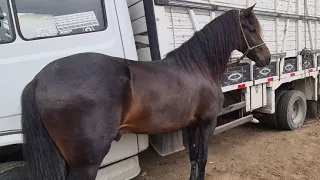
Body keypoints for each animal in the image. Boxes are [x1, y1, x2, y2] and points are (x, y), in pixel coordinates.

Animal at [20, 4, 270, 180]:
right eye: (251, 29)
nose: (267, 58)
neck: (197, 68)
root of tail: (39, 78)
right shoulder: (207, 122)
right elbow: (203, 159)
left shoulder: (192, 125)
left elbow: (193, 158)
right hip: (87, 163)